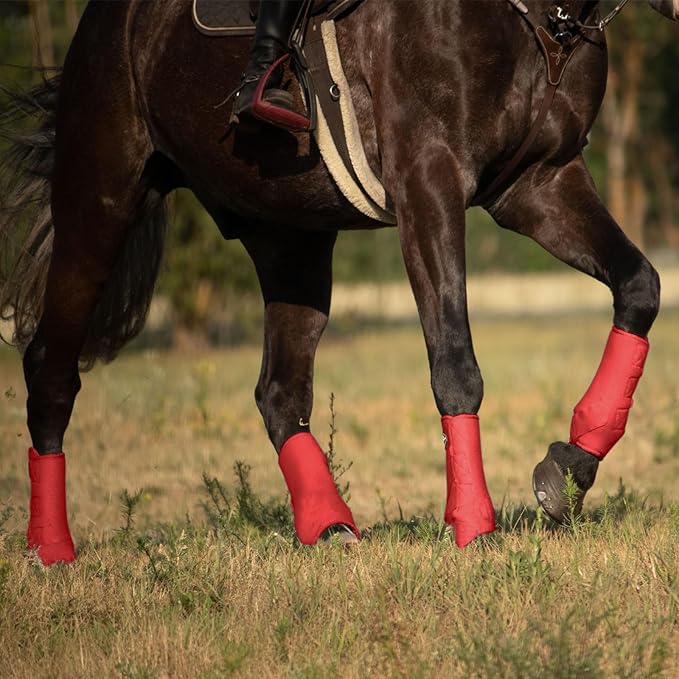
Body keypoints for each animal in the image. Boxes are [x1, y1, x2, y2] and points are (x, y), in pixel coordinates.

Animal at [1, 0, 677, 565]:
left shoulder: (539, 184)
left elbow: (639, 288)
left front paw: (570, 467)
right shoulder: (428, 186)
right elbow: (455, 365)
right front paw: (474, 526)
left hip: (289, 237)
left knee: (280, 391)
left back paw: (328, 525)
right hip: (101, 205)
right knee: (51, 369)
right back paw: (50, 548)